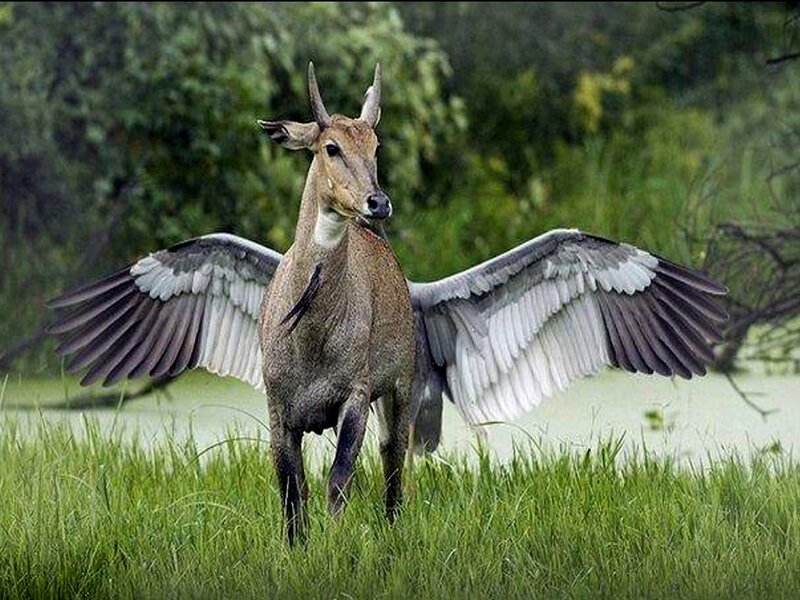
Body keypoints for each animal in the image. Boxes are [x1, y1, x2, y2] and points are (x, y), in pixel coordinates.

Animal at [47, 62, 727, 543]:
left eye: (376, 146)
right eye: (330, 147)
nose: (378, 203)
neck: (314, 323)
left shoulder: (354, 401)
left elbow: (338, 489)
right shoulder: (277, 410)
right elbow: (292, 502)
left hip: (403, 401)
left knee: (395, 479)